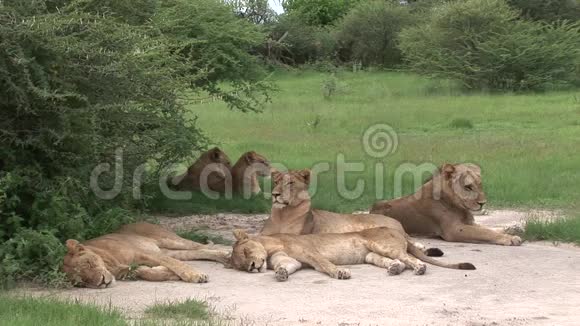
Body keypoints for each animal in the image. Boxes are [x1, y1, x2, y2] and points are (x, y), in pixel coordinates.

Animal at [61, 223, 229, 290]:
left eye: (89, 263)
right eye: (82, 282)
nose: (102, 282)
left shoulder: (143, 252)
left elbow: (173, 263)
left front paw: (195, 275)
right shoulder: (130, 268)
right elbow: (146, 272)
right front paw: (167, 273)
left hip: (168, 239)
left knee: (204, 246)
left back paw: (228, 252)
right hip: (171, 250)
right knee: (201, 251)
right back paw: (226, 258)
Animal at [370, 164, 524, 246]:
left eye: (480, 185)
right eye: (468, 187)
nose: (482, 203)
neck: (459, 206)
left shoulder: (469, 223)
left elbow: (488, 228)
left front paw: (512, 231)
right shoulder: (453, 230)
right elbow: (484, 232)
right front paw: (510, 238)